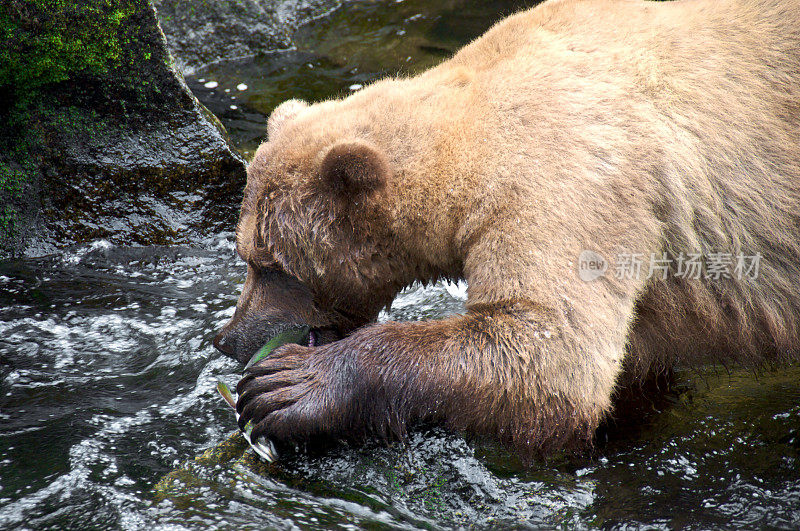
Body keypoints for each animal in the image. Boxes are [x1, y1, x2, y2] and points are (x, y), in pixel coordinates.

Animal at [211, 0, 800, 458]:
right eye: (245, 255)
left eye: (272, 265)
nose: (228, 338)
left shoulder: (570, 183)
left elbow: (547, 354)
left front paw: (288, 385)